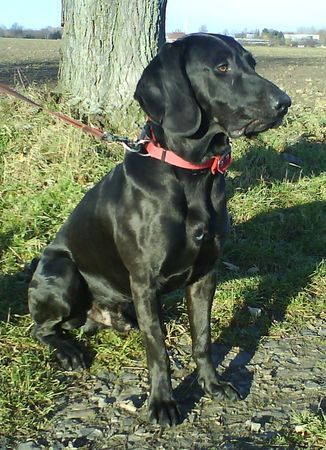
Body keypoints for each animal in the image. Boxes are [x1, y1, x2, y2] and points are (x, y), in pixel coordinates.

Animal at [28, 34, 290, 426]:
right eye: (221, 67)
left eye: (252, 62)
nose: (284, 103)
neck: (192, 174)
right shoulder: (144, 280)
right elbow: (158, 351)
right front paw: (163, 402)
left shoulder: (205, 274)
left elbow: (203, 338)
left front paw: (212, 385)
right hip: (62, 272)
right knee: (42, 328)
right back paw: (69, 351)